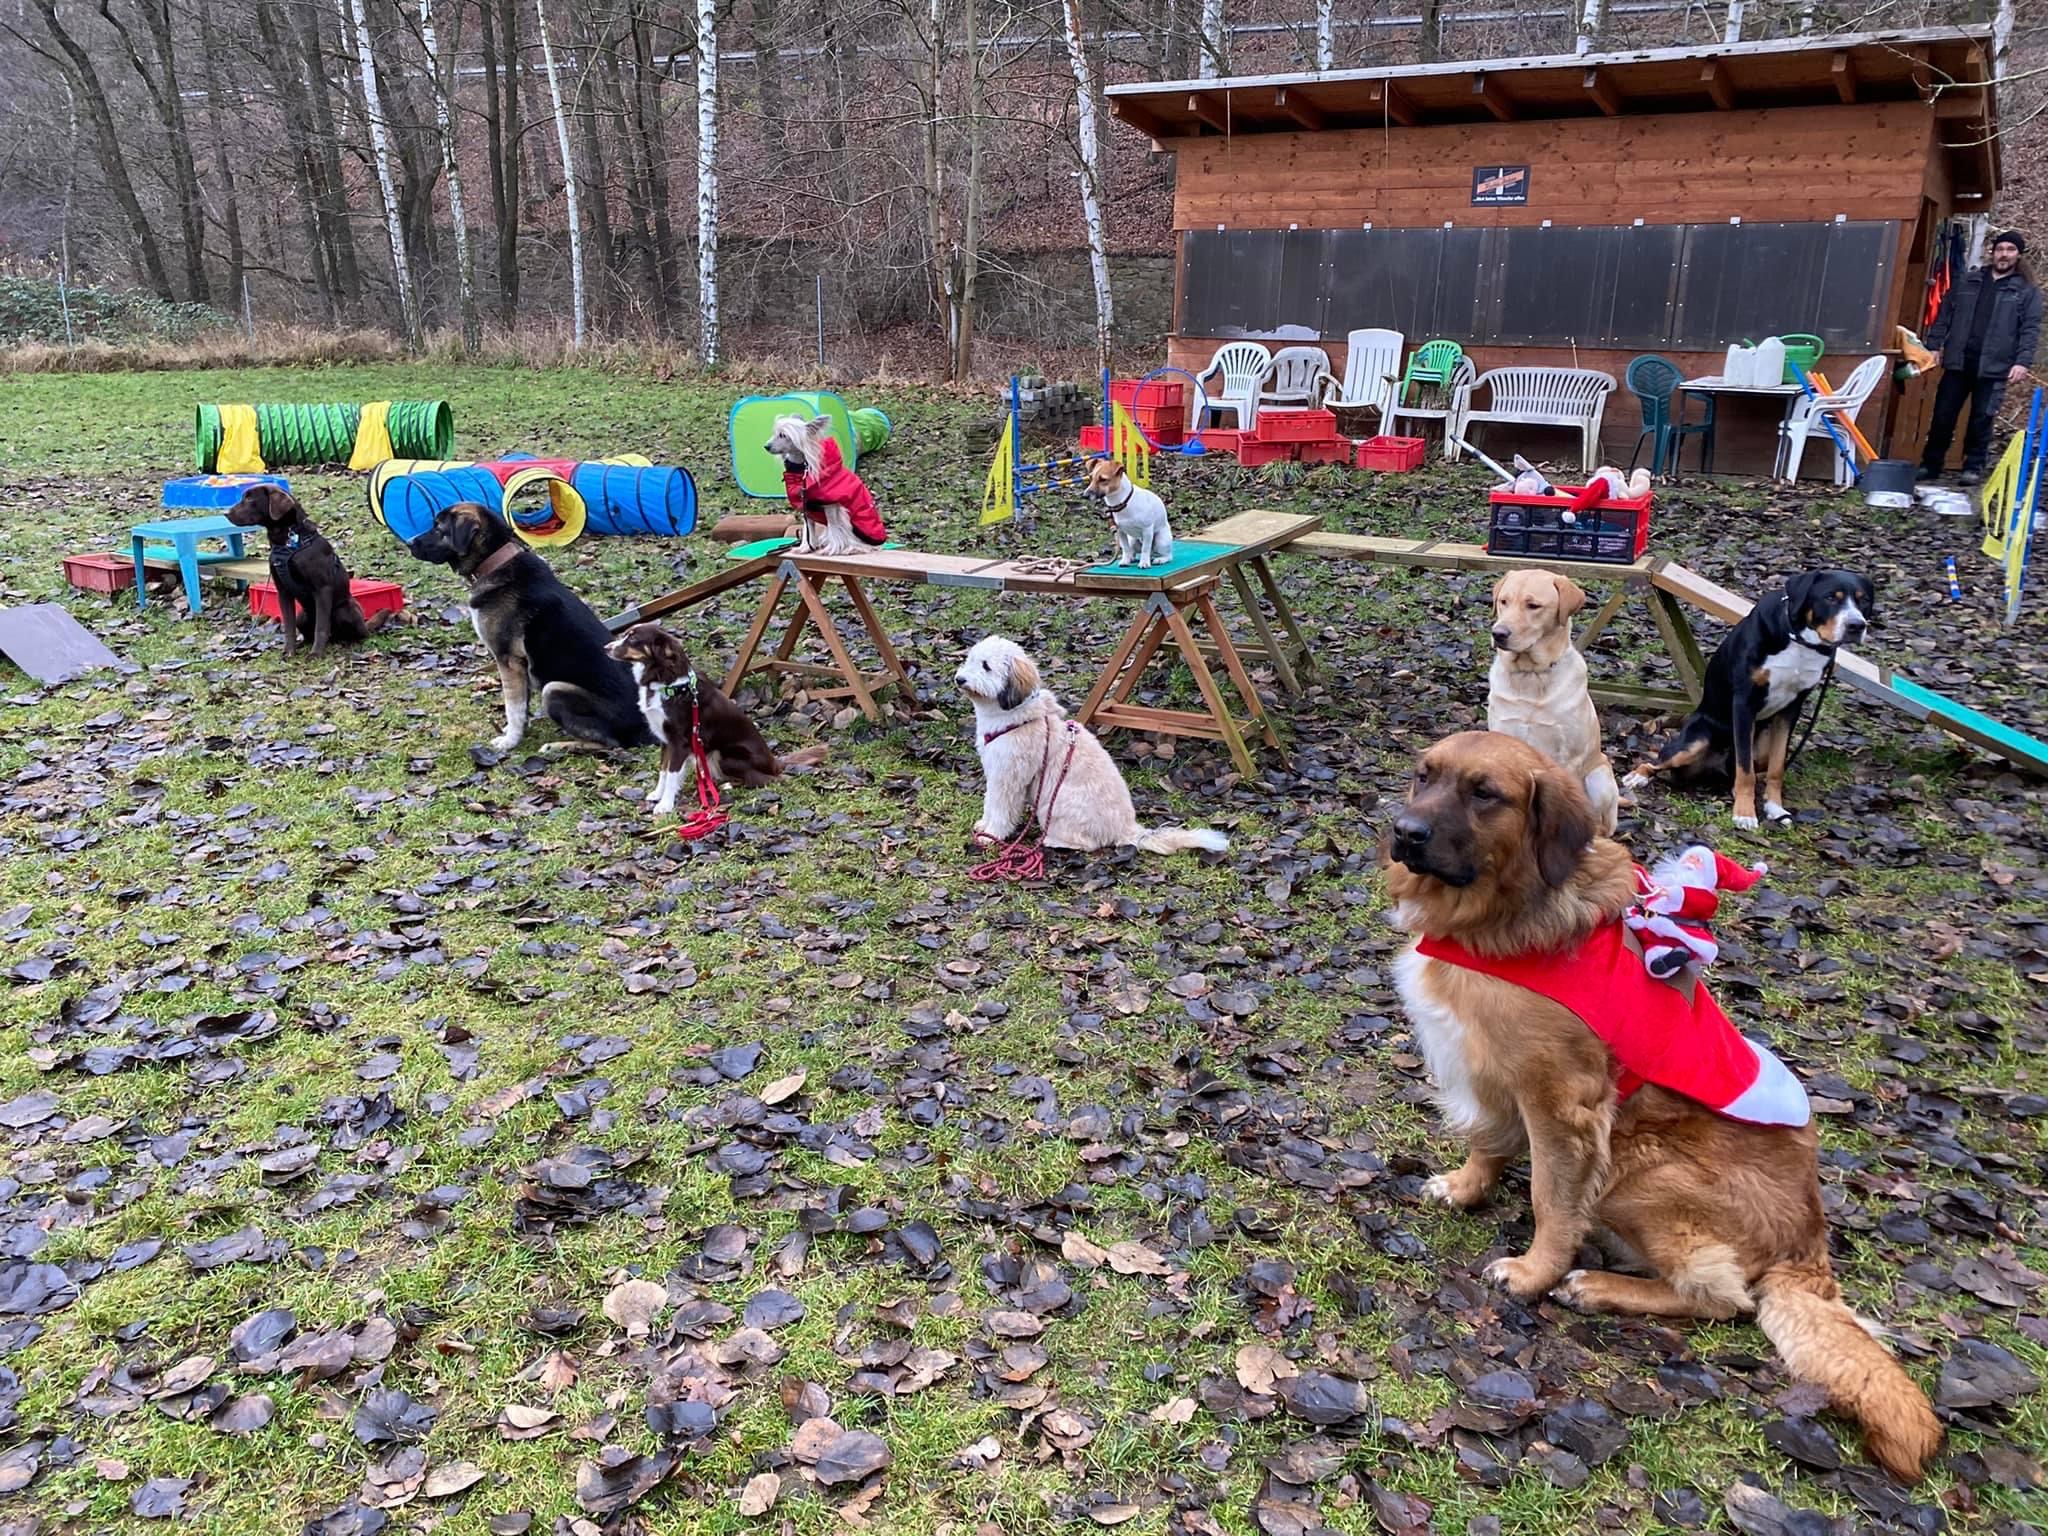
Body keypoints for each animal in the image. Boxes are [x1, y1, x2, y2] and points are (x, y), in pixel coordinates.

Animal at [228, 487, 395, 655]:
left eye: (250, 499)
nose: (226, 513)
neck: (287, 543)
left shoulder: (322, 589)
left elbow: (320, 627)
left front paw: (315, 654)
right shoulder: (283, 592)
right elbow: (289, 626)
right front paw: (289, 652)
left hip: (345, 612)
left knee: (357, 634)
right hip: (302, 616)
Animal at [405, 501, 647, 753]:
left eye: (438, 527)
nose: (409, 542)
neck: (496, 561)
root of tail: (645, 730)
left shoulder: (507, 659)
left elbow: (513, 705)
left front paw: (509, 741)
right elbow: (522, 704)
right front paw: (517, 730)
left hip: (554, 689)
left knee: (610, 744)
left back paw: (558, 746)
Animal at [598, 626, 823, 819]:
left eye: (633, 639)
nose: (605, 648)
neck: (666, 683)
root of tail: (775, 763)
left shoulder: (679, 742)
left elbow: (671, 773)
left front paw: (665, 804)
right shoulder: (665, 740)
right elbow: (663, 770)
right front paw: (657, 794)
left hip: (726, 756)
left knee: (768, 779)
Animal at [950, 634, 1220, 856]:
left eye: (986, 666)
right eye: (970, 660)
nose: (959, 679)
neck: (1013, 717)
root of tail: (1127, 828)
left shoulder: (1008, 777)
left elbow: (1000, 808)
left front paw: (991, 835)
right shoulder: (997, 774)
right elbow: (990, 803)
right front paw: (984, 826)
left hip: (1055, 804)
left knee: (1089, 844)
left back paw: (1052, 841)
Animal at [1622, 573, 1875, 831]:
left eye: (1863, 600)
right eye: (1830, 597)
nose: (1856, 626)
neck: (1799, 642)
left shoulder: (1791, 708)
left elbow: (1776, 768)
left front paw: (1775, 807)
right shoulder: (1744, 703)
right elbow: (1745, 771)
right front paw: (1744, 813)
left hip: (1761, 746)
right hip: (1695, 742)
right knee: (1656, 762)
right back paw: (1637, 776)